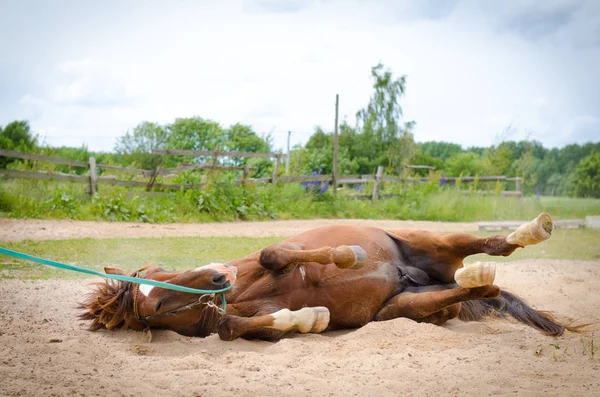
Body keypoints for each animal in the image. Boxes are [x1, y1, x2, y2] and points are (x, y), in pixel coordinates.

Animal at [79, 213, 572, 340]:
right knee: (480, 287)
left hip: (425, 239)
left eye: (162, 271)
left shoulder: (275, 256)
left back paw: (531, 230)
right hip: (403, 307)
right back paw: (476, 279)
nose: (220, 275)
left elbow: (275, 252)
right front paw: (306, 320)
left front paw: (348, 256)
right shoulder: (236, 317)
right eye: (157, 302)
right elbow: (232, 328)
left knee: (492, 245)